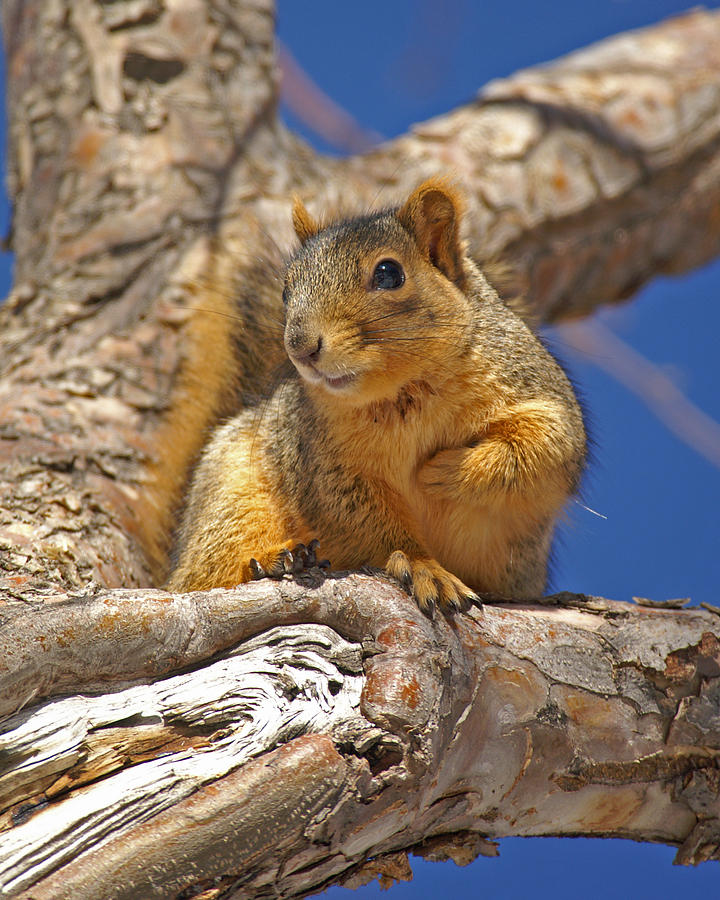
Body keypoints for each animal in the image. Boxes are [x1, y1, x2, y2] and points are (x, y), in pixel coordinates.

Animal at [164, 179, 587, 615]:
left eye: (389, 273)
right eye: (286, 289)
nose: (300, 347)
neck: (405, 390)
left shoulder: (535, 392)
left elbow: (542, 451)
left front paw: (441, 471)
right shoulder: (323, 461)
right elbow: (363, 520)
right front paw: (423, 567)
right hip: (234, 497)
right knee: (197, 578)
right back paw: (276, 560)